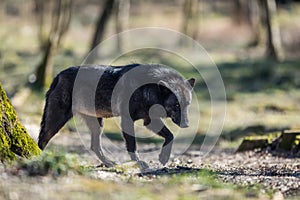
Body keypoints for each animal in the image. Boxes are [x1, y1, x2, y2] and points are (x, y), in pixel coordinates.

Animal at [37, 63, 196, 166]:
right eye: (176, 105)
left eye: (187, 104)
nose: (186, 124)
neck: (148, 88)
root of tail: (58, 75)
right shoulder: (127, 120)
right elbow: (132, 145)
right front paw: (138, 162)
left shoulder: (149, 121)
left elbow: (170, 136)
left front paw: (164, 157)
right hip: (56, 120)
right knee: (42, 139)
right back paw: (37, 156)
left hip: (98, 125)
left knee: (95, 146)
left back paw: (109, 163)